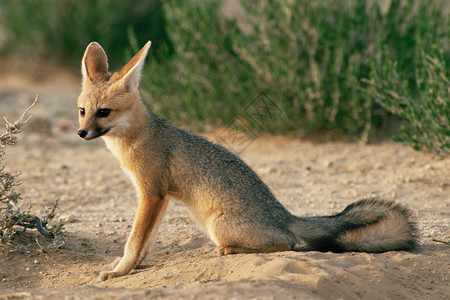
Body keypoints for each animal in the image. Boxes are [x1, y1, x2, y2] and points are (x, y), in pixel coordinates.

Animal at [75, 40, 416, 282]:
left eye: (103, 112)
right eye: (82, 111)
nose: (81, 133)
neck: (138, 137)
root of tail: (284, 214)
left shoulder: (151, 193)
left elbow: (134, 241)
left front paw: (121, 270)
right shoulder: (159, 198)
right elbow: (145, 241)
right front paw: (134, 266)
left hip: (218, 225)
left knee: (289, 243)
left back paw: (231, 249)